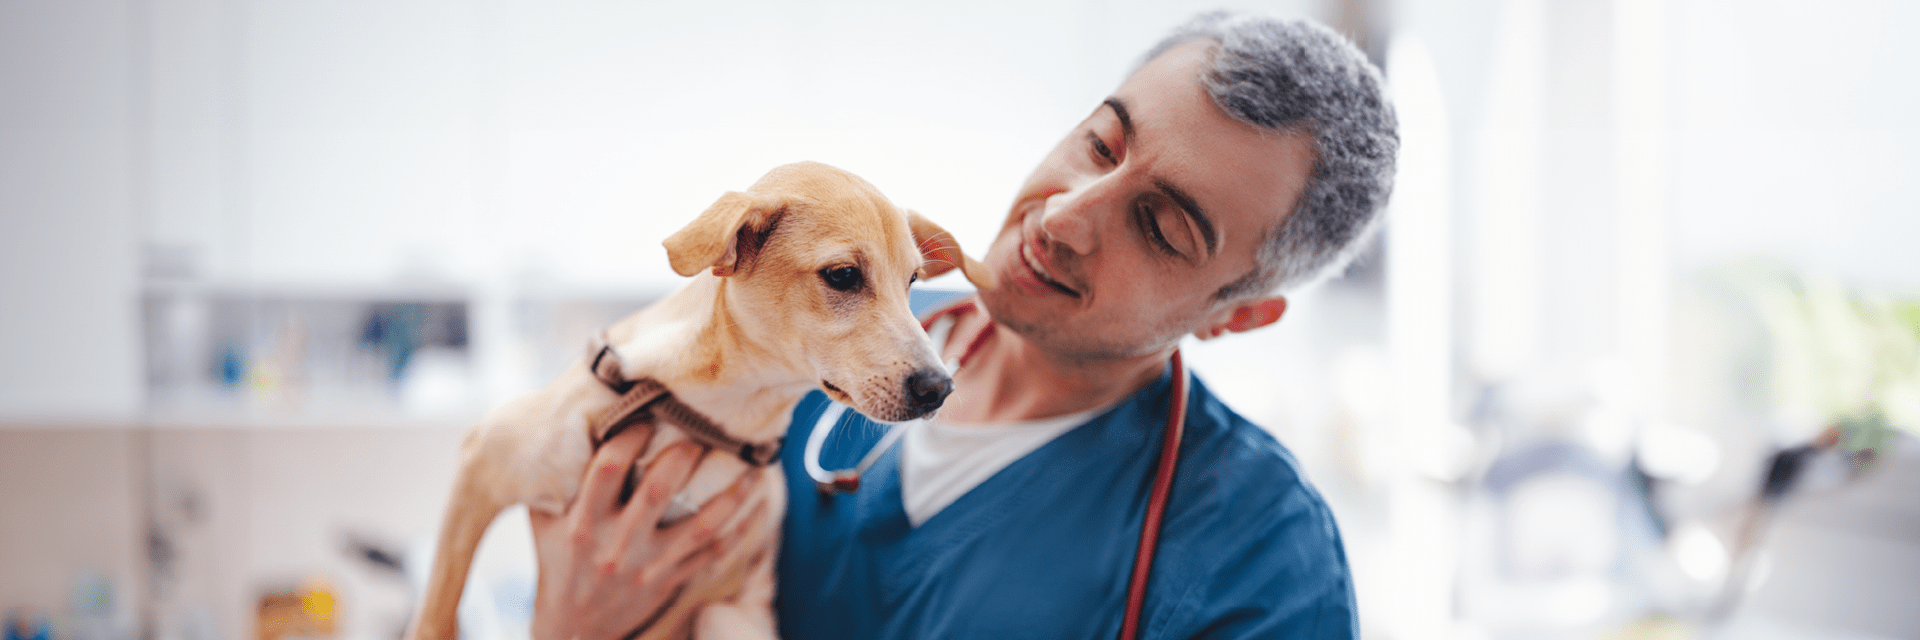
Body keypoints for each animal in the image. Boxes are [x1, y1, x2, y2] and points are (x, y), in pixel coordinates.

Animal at [412, 160, 998, 638]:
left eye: (913, 280)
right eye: (843, 275)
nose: (940, 388)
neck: (716, 408)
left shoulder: (704, 585)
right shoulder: (481, 467)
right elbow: (438, 612)